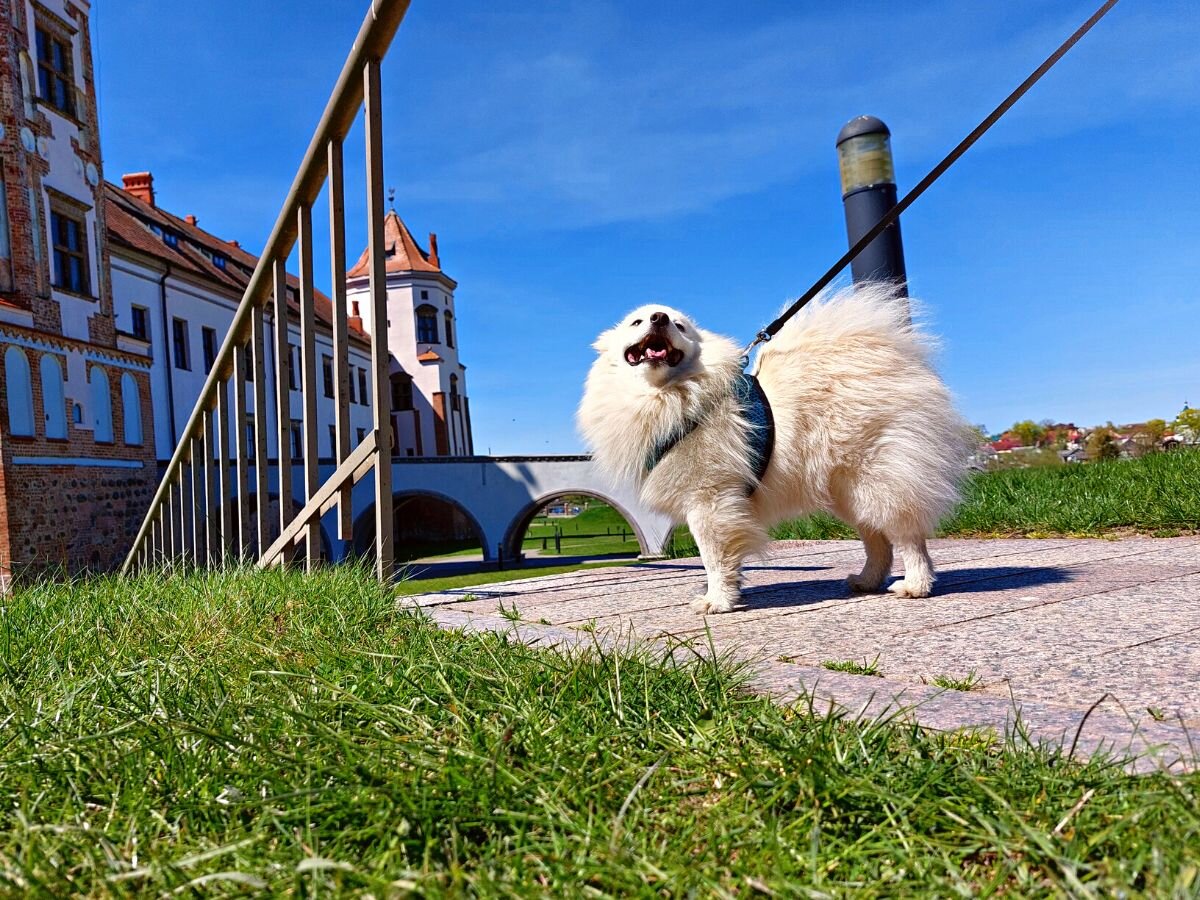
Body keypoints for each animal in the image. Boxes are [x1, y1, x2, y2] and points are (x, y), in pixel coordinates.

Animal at [576, 285, 969, 619]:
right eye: (637, 322)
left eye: (679, 325)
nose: (658, 318)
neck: (669, 396)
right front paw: (731, 593)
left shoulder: (708, 499)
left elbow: (713, 558)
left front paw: (717, 601)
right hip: (848, 491)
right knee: (877, 539)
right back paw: (867, 580)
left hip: (876, 477)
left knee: (906, 536)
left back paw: (915, 585)